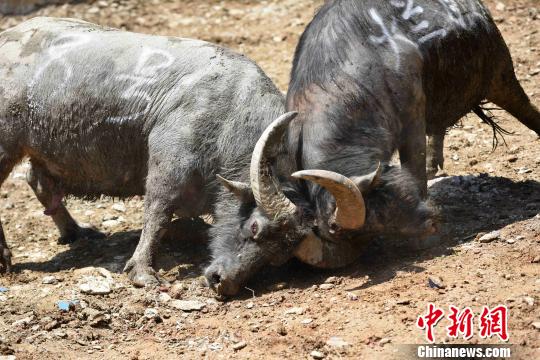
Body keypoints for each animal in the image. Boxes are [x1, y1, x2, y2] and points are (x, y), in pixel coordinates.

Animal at [0, 16, 292, 288]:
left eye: (277, 255)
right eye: (255, 227)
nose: (224, 281)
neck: (229, 116)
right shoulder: (168, 164)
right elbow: (157, 213)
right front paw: (142, 272)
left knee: (37, 181)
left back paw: (76, 232)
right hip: (7, 144)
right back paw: (5, 259)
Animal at [204, 0, 540, 292]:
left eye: (254, 228)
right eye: (376, 225)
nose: (431, 223)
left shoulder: (412, 119)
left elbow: (415, 168)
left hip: (502, 76)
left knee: (527, 111)